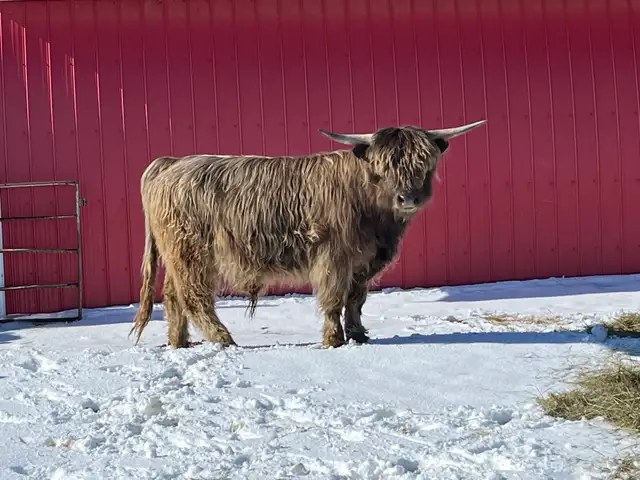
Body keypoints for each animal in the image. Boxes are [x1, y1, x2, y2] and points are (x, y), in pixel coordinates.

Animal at [129, 120, 486, 349]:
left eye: (424, 163)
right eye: (382, 167)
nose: (408, 198)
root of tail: (171, 163)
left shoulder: (363, 261)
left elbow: (355, 299)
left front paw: (359, 334)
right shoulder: (333, 257)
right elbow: (333, 298)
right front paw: (333, 339)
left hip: (178, 256)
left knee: (173, 295)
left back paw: (179, 342)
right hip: (193, 253)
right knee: (194, 296)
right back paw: (223, 339)